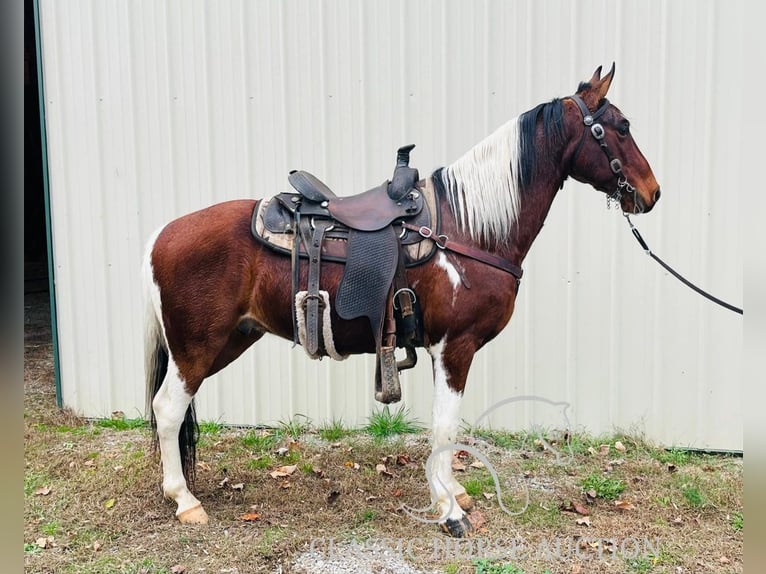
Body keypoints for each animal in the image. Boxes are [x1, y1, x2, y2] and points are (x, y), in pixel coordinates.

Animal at [147, 65, 664, 536]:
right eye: (621, 127)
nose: (653, 193)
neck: (466, 228)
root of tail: (161, 236)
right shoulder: (455, 347)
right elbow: (445, 428)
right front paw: (449, 511)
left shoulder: (442, 350)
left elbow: (445, 428)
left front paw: (452, 492)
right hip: (197, 348)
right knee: (168, 410)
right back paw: (185, 501)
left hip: (231, 339)